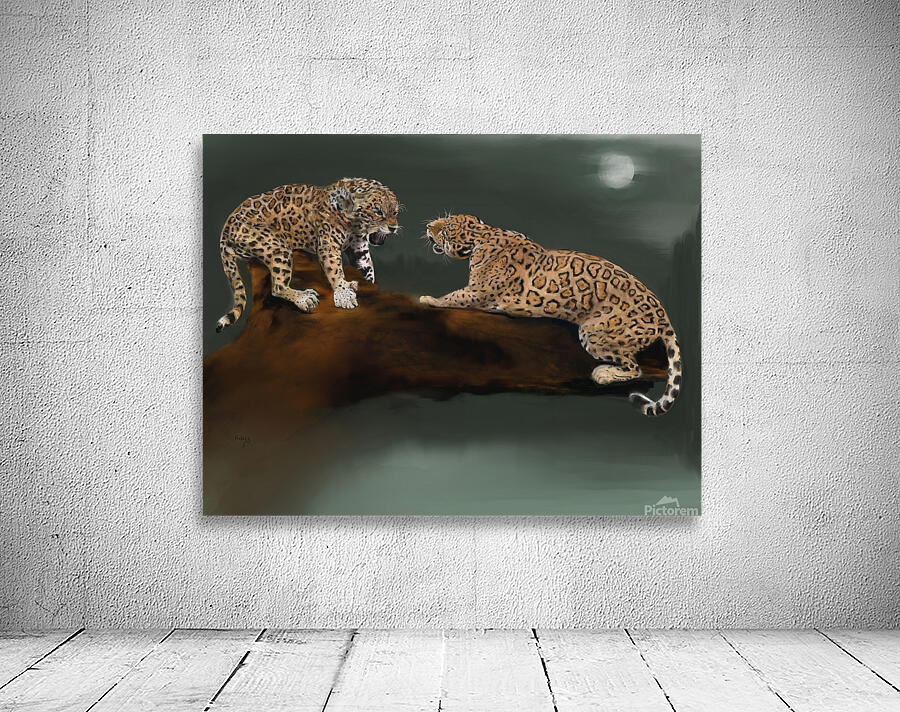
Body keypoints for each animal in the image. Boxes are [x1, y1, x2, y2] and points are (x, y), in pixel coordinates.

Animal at [215, 177, 400, 332]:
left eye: (396, 212)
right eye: (378, 212)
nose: (393, 228)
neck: (355, 224)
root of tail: (225, 229)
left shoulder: (358, 248)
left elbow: (367, 267)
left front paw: (365, 284)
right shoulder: (328, 245)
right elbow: (335, 270)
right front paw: (343, 294)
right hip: (278, 247)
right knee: (278, 286)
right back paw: (305, 297)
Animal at [419, 214, 682, 416]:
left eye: (445, 230)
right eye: (444, 220)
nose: (428, 226)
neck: (483, 235)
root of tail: (663, 316)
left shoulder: (479, 293)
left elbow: (454, 296)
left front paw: (428, 299)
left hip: (594, 333)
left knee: (634, 367)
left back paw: (602, 374)